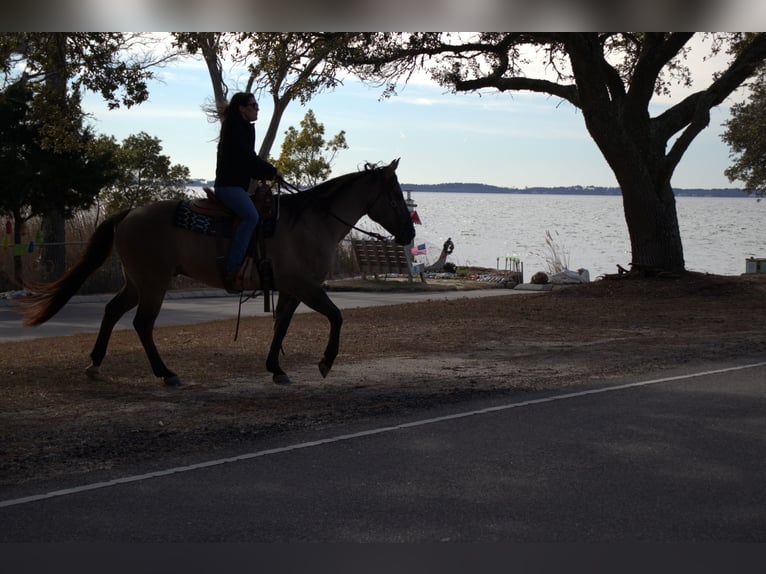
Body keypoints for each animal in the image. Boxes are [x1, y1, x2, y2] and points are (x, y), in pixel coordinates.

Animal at [20, 159, 416, 386]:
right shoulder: (305, 285)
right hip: (153, 282)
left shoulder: (290, 289)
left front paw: (276, 368)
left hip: (137, 282)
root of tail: (129, 213)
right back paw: (166, 373)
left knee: (112, 311)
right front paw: (325, 362)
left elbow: (282, 326)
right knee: (142, 324)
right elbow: (336, 317)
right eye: (396, 196)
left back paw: (95, 364)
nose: (410, 234)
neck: (312, 221)